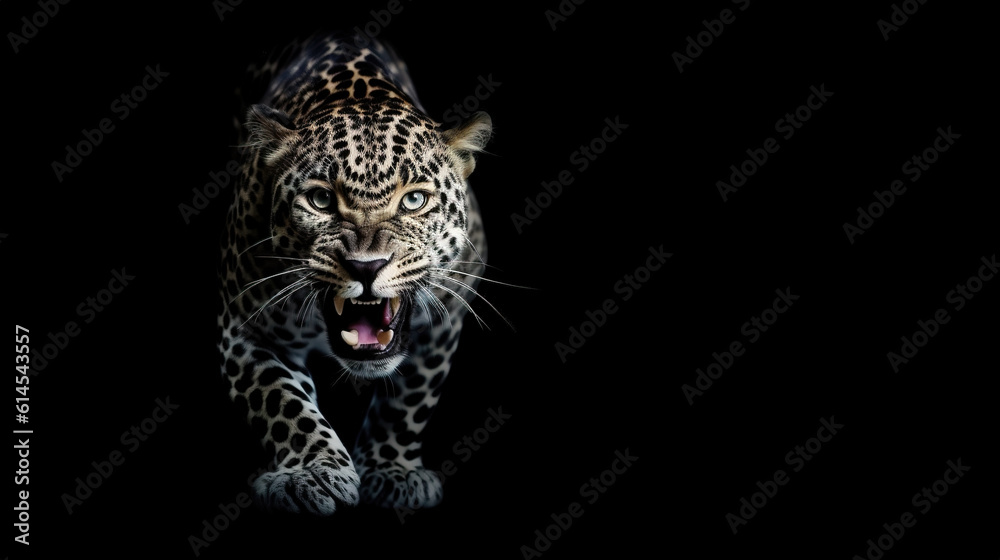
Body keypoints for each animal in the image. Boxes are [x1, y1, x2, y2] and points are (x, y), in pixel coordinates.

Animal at [216, 30, 493, 514]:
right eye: (321, 200)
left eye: (414, 200)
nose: (367, 266)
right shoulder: (245, 328)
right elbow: (282, 404)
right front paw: (312, 472)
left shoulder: (444, 321)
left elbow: (408, 403)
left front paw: (393, 470)